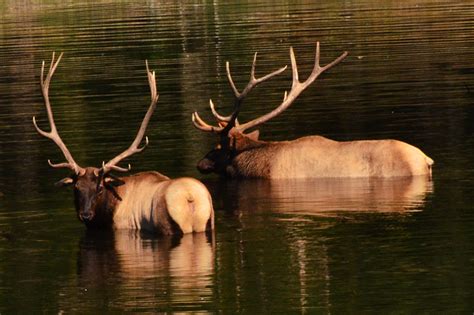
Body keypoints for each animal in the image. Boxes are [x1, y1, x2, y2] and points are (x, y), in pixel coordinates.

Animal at [31, 52, 213, 235]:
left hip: (168, 224)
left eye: (99, 188)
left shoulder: (121, 226)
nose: (86, 215)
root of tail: (190, 198)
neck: (109, 211)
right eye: (76, 188)